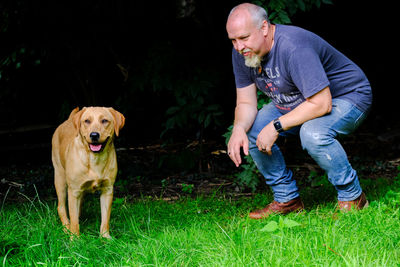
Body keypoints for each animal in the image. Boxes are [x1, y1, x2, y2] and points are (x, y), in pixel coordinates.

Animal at [51, 108, 124, 240]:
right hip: (60, 178)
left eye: (104, 120)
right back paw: (66, 227)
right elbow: (74, 219)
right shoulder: (74, 191)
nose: (94, 135)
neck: (95, 159)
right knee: (61, 207)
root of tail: (69, 119)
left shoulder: (107, 190)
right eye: (87, 121)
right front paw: (75, 239)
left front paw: (105, 237)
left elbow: (105, 218)